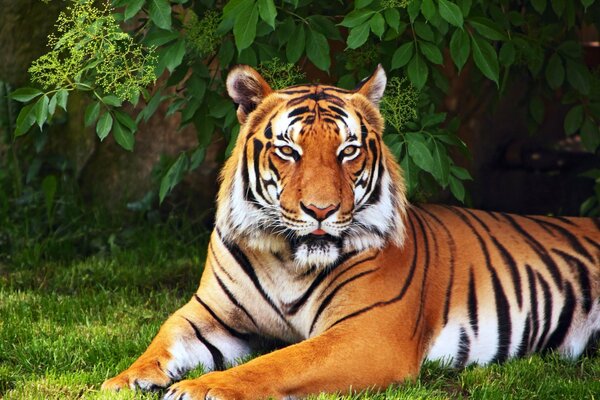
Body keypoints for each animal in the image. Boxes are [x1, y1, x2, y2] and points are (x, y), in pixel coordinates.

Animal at [103, 64, 600, 398]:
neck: (287, 258)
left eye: (348, 151)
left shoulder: (366, 333)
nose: (321, 210)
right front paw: (124, 380)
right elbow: (163, 339)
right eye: (288, 150)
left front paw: (205, 387)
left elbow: (278, 362)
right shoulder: (210, 314)